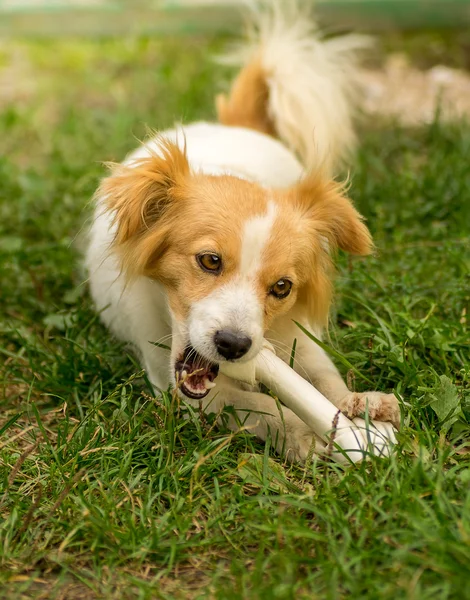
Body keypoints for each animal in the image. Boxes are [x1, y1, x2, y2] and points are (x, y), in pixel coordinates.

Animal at [85, 4, 400, 462]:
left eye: (282, 287)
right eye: (209, 261)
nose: (234, 345)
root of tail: (237, 125)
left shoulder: (295, 336)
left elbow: (324, 376)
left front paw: (357, 406)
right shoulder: (179, 387)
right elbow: (260, 403)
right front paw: (305, 434)